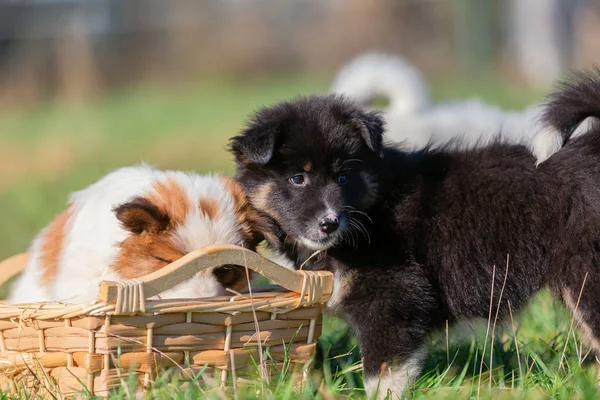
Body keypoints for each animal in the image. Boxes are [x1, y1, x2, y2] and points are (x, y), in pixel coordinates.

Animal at [230, 74, 600, 396]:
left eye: (344, 177)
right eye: (297, 178)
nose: (330, 223)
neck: (375, 207)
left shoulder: (393, 297)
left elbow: (383, 374)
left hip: (584, 278)